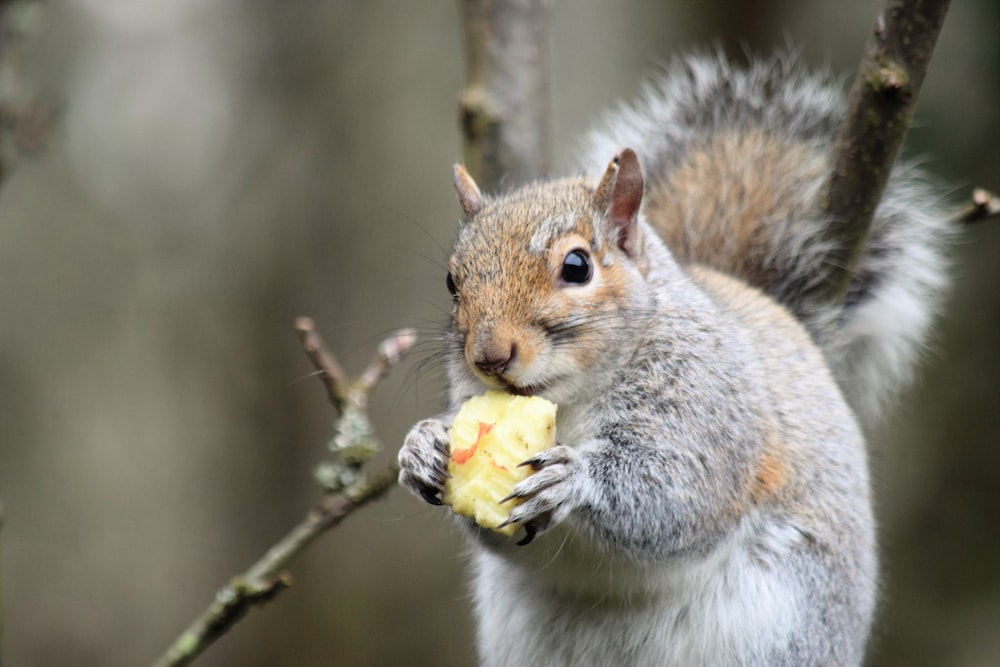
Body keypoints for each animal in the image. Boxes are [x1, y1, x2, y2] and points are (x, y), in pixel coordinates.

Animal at [394, 53, 948, 667]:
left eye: (577, 266)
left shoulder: (707, 405)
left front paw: (573, 477)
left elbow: (676, 491)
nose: (489, 355)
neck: (570, 400)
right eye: (452, 281)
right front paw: (421, 448)